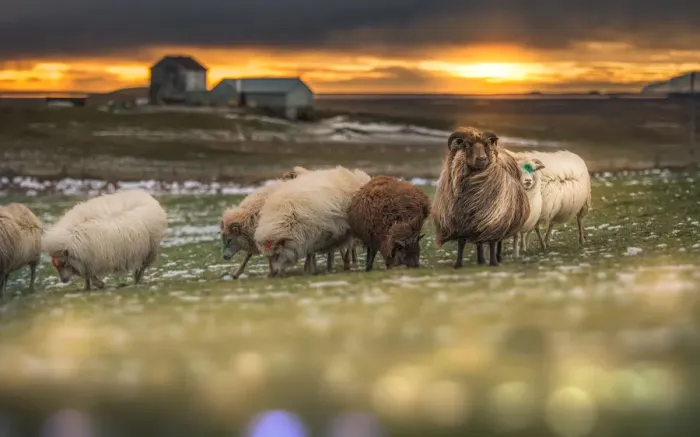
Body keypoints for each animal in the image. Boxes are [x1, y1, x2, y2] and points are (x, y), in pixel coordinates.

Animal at [432, 127, 530, 267]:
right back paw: (481, 260)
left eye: (486, 145)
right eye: (467, 145)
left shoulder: (493, 218)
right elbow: (461, 243)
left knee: (497, 240)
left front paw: (493, 262)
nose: (482, 159)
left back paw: (498, 257)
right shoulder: (459, 220)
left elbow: (492, 241)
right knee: (479, 241)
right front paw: (458, 264)